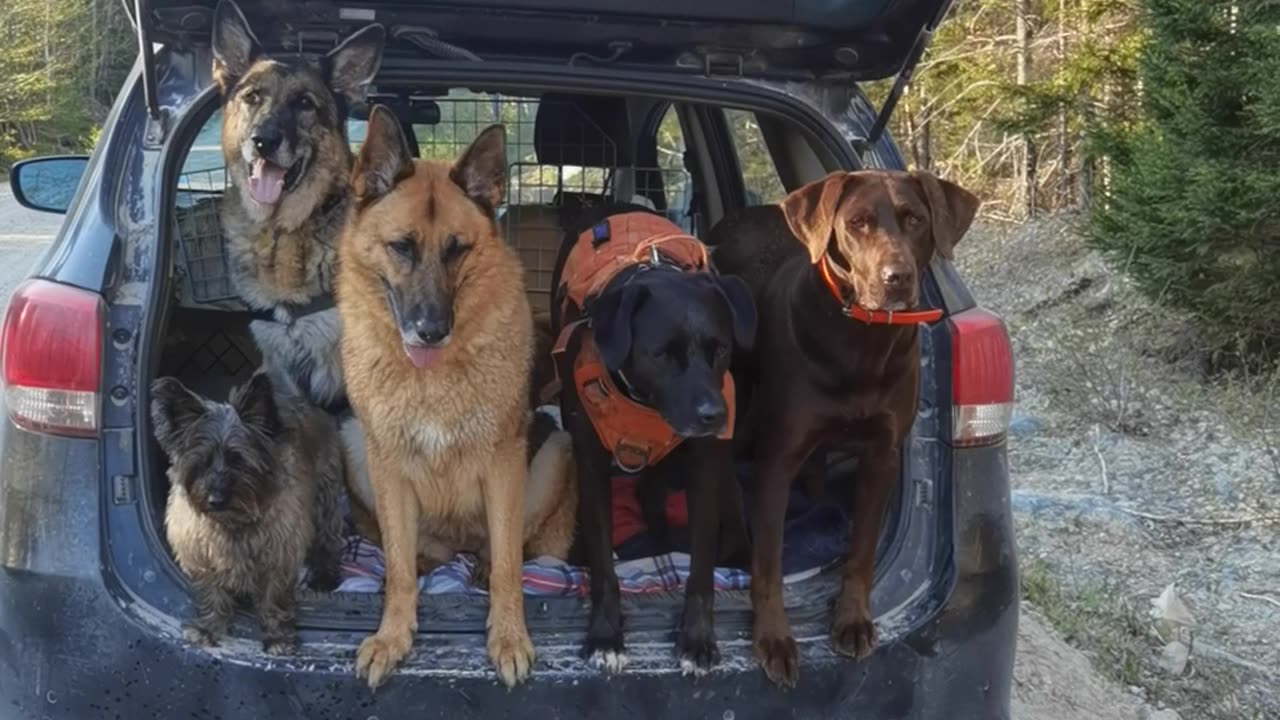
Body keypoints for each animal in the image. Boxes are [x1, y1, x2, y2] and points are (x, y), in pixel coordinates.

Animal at [340, 105, 581, 681]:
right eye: (401, 247)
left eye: (458, 251)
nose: (431, 331)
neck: (431, 377)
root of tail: (459, 548)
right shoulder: (385, 462)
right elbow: (399, 567)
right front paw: (392, 634)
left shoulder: (503, 464)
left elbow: (510, 569)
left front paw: (509, 635)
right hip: (353, 442)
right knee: (416, 553)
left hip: (555, 452)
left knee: (504, 553)